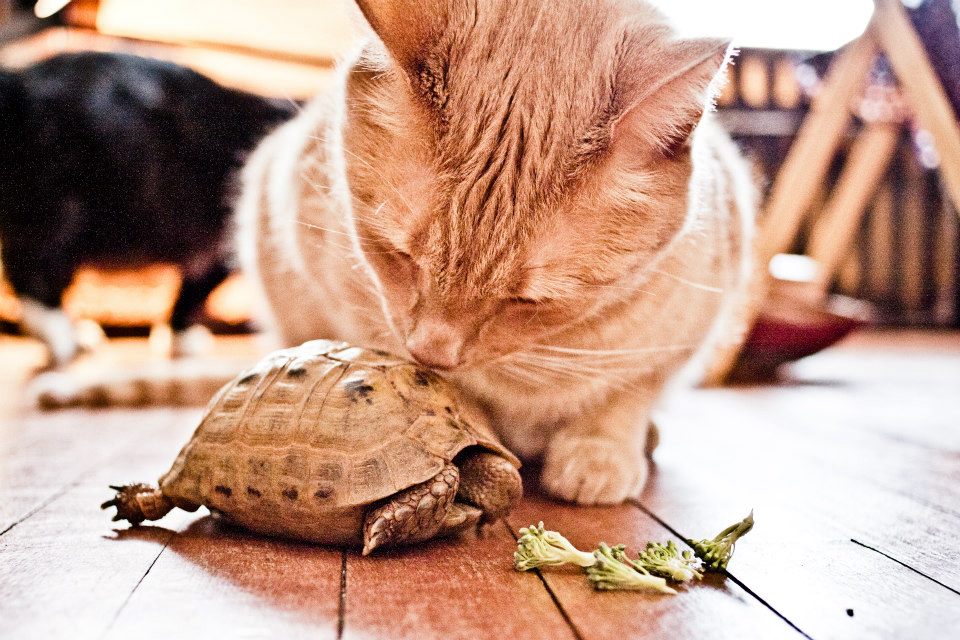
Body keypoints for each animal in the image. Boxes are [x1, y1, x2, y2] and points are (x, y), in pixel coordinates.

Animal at [0, 51, 296, 364]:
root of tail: (18, 81)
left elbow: (192, 288)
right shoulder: (223, 246)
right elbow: (197, 293)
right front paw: (182, 339)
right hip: (58, 212)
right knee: (29, 272)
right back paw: (62, 338)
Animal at [236, 1, 752, 504]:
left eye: (528, 301)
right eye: (399, 256)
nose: (432, 353)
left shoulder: (682, 337)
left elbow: (625, 394)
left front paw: (599, 452)